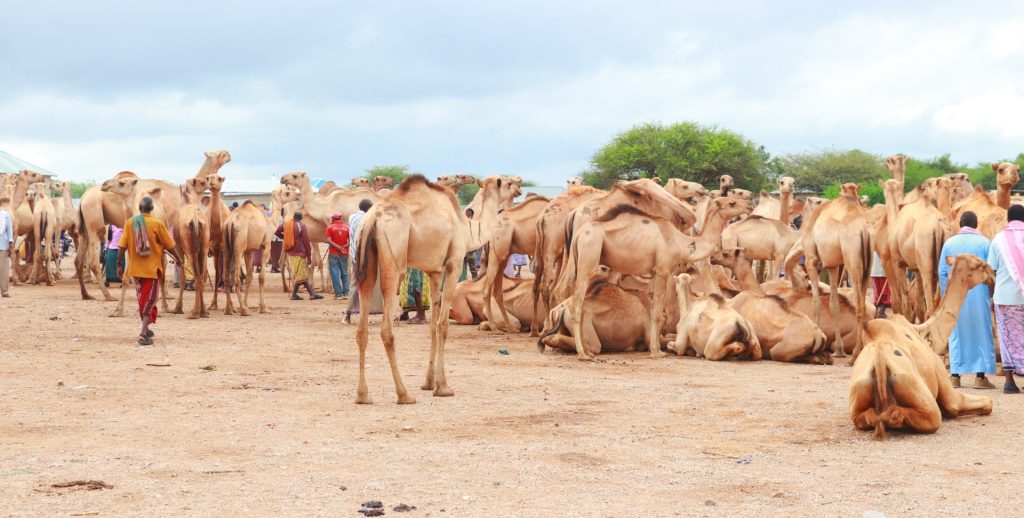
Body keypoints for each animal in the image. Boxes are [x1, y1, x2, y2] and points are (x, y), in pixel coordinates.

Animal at [169, 177, 209, 319]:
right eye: (202, 182)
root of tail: (196, 220)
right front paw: (204, 310)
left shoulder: (179, 248)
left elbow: (182, 276)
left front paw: (177, 308)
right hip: (203, 249)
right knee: (201, 276)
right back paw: (202, 311)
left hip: (191, 250)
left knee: (197, 276)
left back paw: (195, 313)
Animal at [354, 175, 516, 405]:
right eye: (509, 183)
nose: (520, 186)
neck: (467, 228)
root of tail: (372, 220)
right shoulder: (453, 264)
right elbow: (442, 325)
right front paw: (443, 387)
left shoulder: (434, 272)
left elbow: (432, 326)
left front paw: (429, 383)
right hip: (394, 260)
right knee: (387, 330)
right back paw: (403, 394)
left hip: (364, 258)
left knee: (362, 327)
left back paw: (363, 395)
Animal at [557, 196, 749, 358]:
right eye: (731, 203)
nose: (749, 203)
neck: (680, 242)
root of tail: (579, 234)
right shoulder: (663, 270)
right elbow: (657, 312)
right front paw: (657, 351)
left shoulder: (654, 273)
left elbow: (654, 308)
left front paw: (653, 347)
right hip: (588, 254)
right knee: (576, 304)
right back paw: (582, 353)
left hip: (577, 257)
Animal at [847, 252, 991, 438]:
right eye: (981, 265)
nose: (993, 274)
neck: (925, 335)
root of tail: (879, 362)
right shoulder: (948, 391)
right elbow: (985, 403)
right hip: (917, 393)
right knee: (918, 415)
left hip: (860, 390)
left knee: (870, 416)